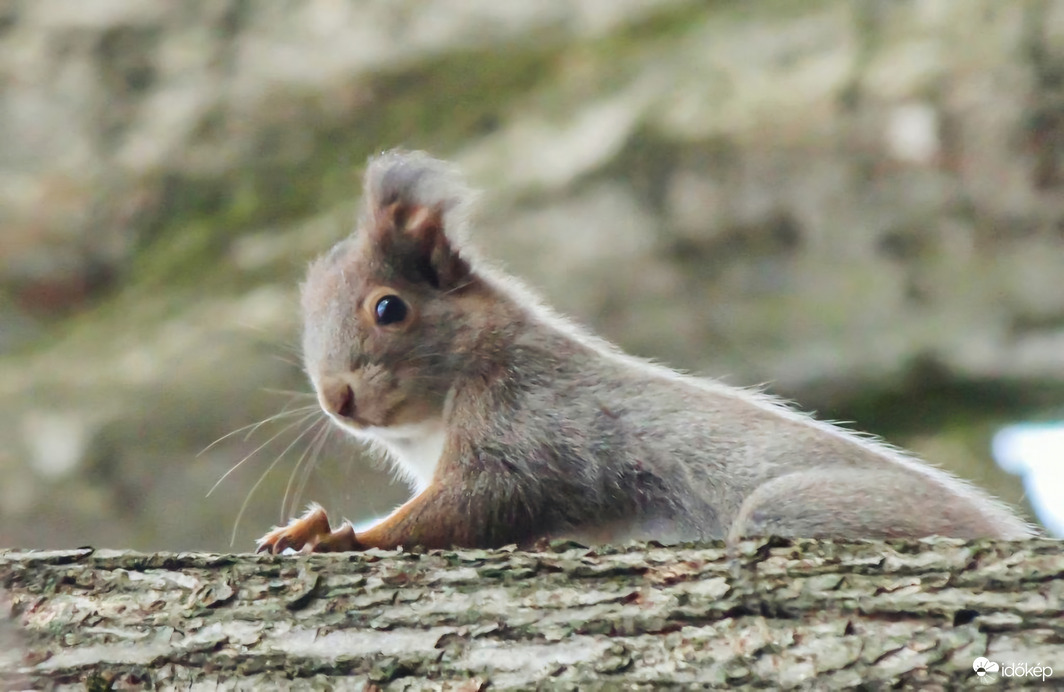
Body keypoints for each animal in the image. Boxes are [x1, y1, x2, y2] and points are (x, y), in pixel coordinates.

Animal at [253, 149, 1034, 549]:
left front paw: (342, 537)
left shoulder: (529, 423)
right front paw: (308, 522)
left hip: (795, 509)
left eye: (389, 308)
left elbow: (477, 503)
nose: (337, 400)